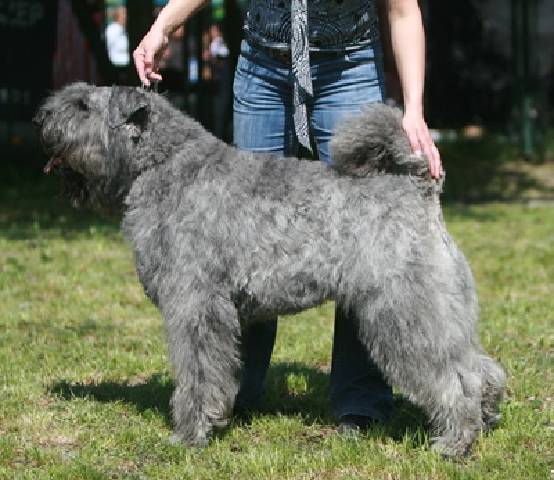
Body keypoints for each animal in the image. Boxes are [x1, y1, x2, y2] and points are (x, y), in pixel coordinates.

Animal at [32, 83, 502, 458]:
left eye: (82, 105)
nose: (40, 118)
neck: (161, 163)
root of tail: (419, 185)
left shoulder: (193, 305)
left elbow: (197, 374)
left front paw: (189, 434)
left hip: (404, 312)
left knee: (452, 379)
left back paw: (455, 442)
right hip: (441, 310)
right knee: (480, 368)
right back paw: (487, 416)